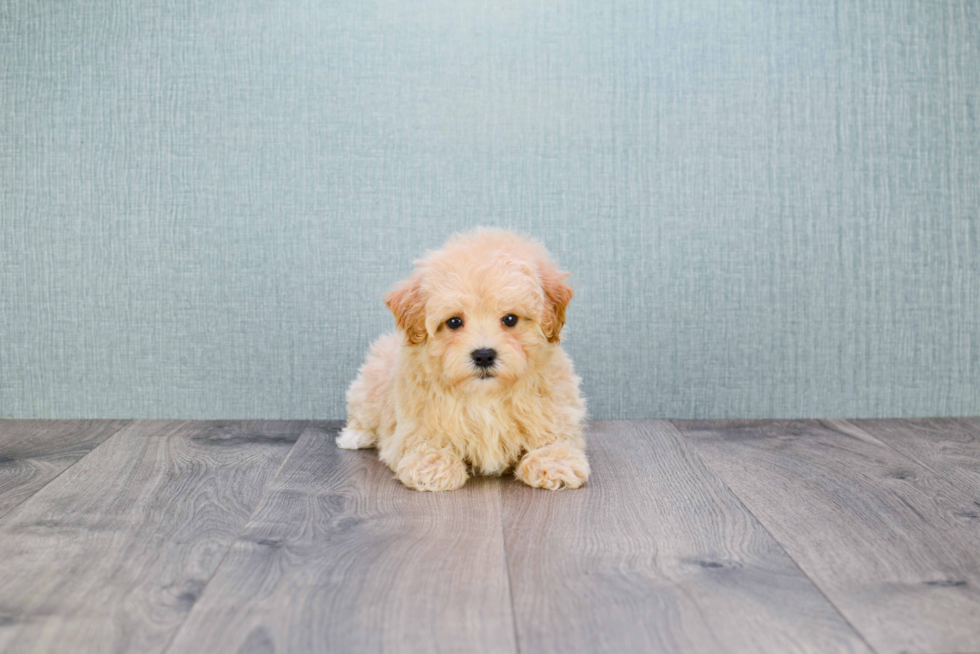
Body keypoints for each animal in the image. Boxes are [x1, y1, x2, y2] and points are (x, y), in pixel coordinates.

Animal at [334, 231, 588, 492]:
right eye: (454, 322)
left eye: (510, 319)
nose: (484, 355)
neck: (485, 396)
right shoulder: (417, 419)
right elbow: (423, 440)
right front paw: (433, 466)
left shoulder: (552, 405)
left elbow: (553, 435)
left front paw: (554, 463)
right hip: (370, 385)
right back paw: (355, 436)